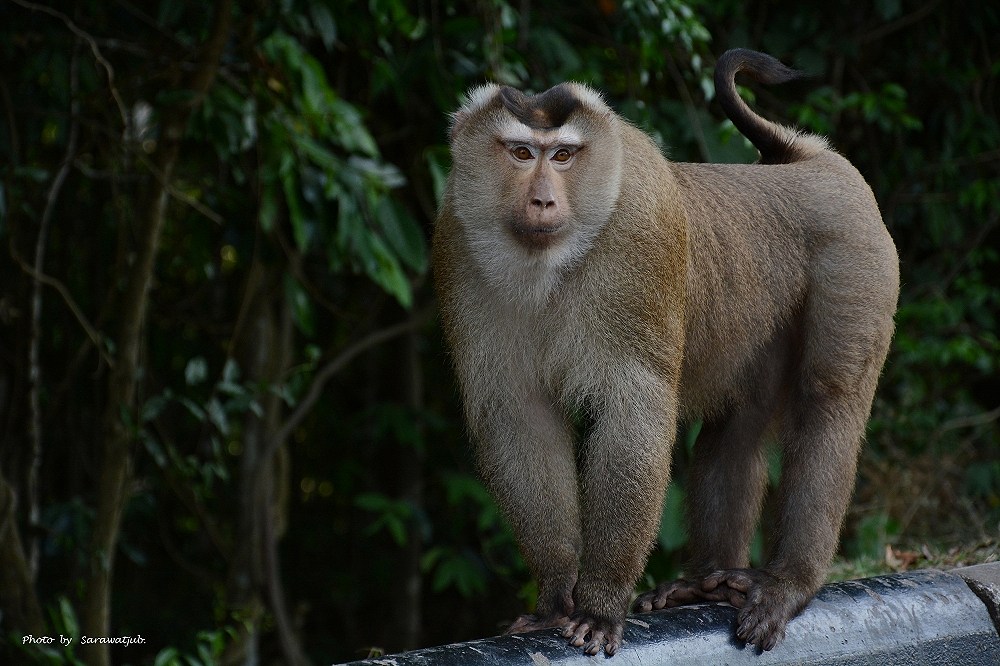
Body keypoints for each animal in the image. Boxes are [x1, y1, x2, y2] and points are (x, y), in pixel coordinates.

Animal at [434, 49, 904, 656]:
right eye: (520, 153)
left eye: (563, 155)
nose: (542, 199)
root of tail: (811, 159)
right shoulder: (456, 240)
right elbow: (519, 416)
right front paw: (556, 596)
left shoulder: (640, 235)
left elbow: (633, 408)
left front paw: (601, 605)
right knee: (738, 426)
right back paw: (707, 581)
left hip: (857, 252)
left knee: (831, 401)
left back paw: (789, 583)